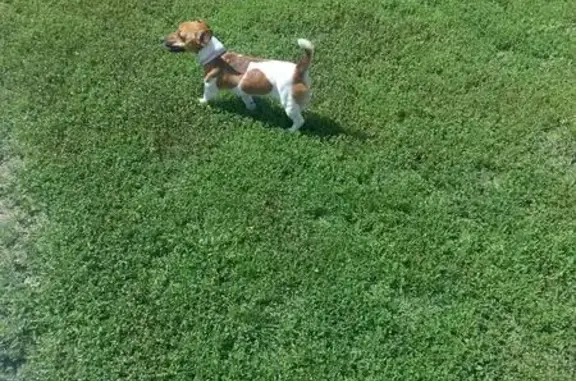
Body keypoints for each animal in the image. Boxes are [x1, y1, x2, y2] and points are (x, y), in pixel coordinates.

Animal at [162, 19, 316, 132]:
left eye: (181, 35)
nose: (162, 39)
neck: (215, 56)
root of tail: (298, 70)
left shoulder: (209, 84)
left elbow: (206, 96)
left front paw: (202, 101)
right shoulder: (244, 91)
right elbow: (248, 99)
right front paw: (251, 108)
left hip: (288, 103)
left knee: (299, 121)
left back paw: (290, 131)